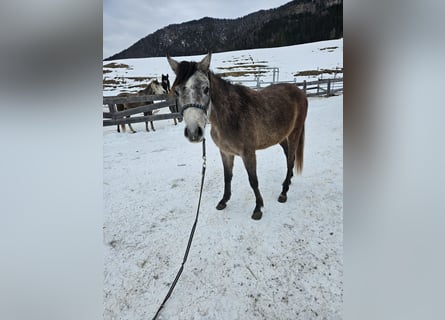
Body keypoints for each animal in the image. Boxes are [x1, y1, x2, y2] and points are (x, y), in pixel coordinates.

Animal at [168, 53, 306, 221]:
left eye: (206, 89)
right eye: (176, 91)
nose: (194, 132)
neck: (231, 115)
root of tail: (299, 91)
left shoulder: (248, 153)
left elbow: (253, 180)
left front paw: (258, 208)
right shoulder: (226, 153)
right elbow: (227, 177)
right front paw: (224, 200)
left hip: (294, 133)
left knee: (291, 159)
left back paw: (284, 191)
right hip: (280, 137)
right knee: (288, 157)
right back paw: (289, 180)